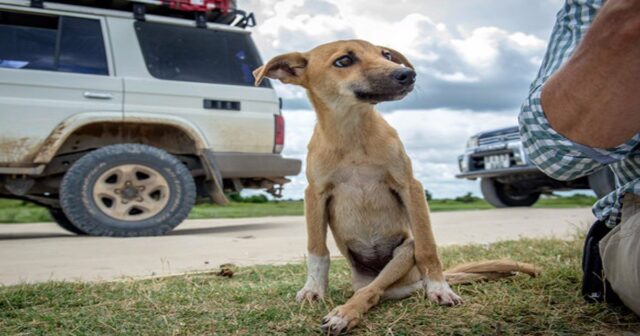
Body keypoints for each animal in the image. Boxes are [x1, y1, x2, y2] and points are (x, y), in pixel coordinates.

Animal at [252, 40, 536, 334]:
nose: (407, 74)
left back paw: (347, 313)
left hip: (403, 253)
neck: (352, 133)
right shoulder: (315, 194)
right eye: (343, 61)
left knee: (375, 291)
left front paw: (440, 288)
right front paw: (313, 289)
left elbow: (428, 246)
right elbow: (317, 250)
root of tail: (406, 282)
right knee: (370, 290)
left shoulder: (410, 187)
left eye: (386, 54)